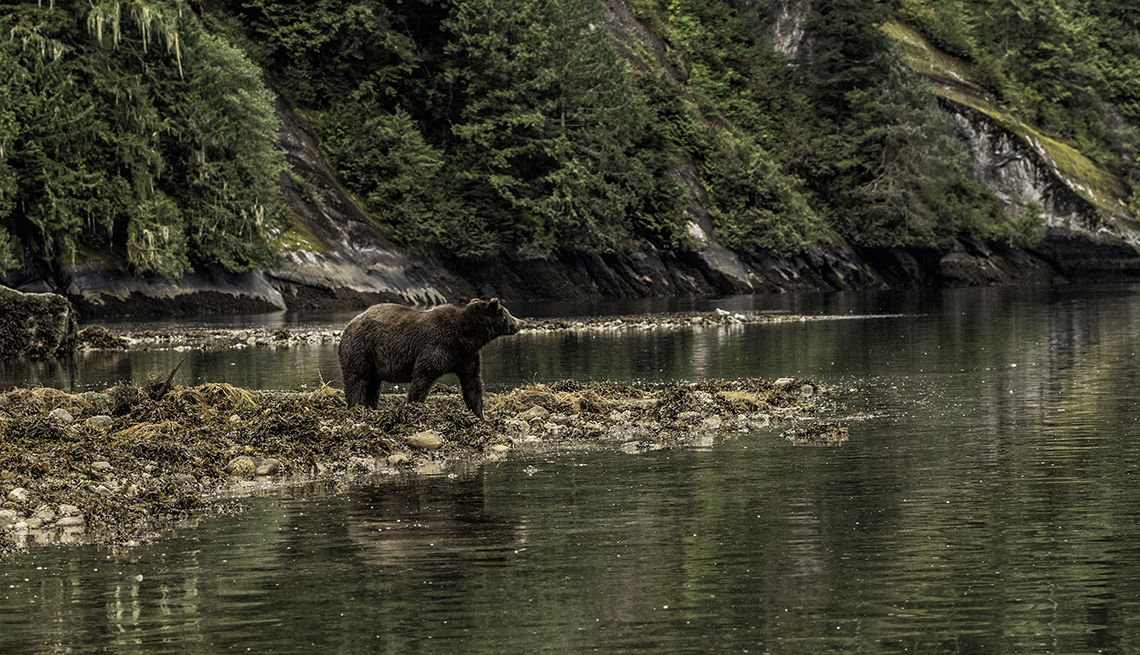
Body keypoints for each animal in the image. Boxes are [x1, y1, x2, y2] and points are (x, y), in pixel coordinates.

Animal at [332, 298, 522, 419]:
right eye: (508, 313)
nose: (521, 322)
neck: (465, 337)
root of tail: (349, 325)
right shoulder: (436, 345)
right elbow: (423, 376)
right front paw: (415, 406)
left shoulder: (466, 357)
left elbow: (473, 383)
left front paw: (479, 414)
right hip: (361, 347)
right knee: (357, 378)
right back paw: (356, 406)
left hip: (373, 360)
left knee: (373, 384)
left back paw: (370, 407)